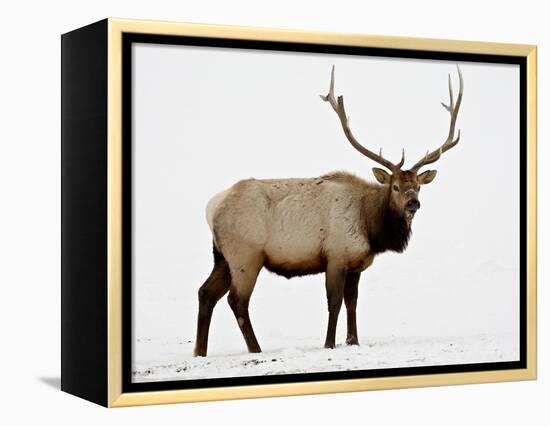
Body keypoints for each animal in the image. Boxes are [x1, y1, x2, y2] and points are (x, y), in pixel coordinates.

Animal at [195, 63, 466, 356]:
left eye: (417, 186)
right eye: (395, 186)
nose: (413, 203)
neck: (371, 227)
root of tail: (212, 207)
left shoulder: (356, 264)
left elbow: (352, 302)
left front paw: (353, 340)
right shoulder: (336, 256)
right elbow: (334, 302)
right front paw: (329, 344)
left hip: (222, 256)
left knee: (205, 293)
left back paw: (200, 351)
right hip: (246, 255)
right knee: (237, 300)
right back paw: (255, 349)